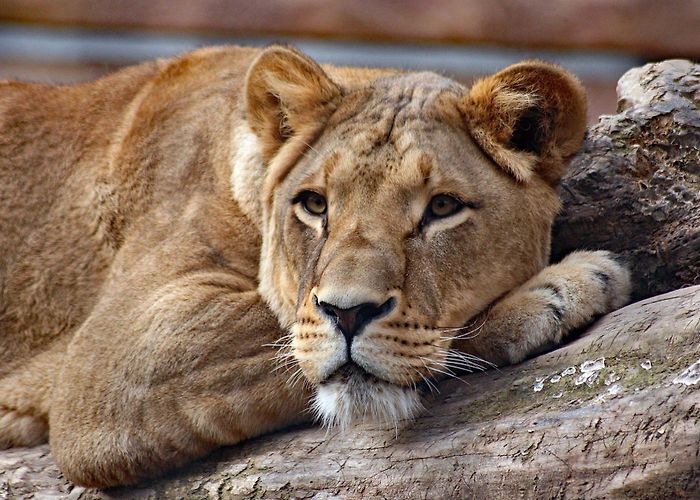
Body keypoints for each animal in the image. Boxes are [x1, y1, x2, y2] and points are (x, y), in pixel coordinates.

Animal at [0, 45, 630, 488]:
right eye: (315, 204)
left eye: (442, 208)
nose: (347, 315)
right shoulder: (109, 365)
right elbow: (285, 333)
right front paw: (562, 288)